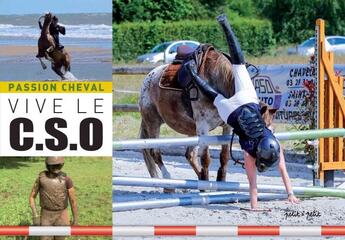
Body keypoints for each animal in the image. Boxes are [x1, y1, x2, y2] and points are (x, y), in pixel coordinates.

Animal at [138, 45, 235, 188]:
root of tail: (148, 78)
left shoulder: (227, 126)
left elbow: (224, 156)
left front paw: (221, 181)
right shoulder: (203, 126)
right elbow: (206, 158)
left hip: (191, 129)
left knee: (190, 155)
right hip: (152, 122)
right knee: (155, 152)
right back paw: (168, 181)